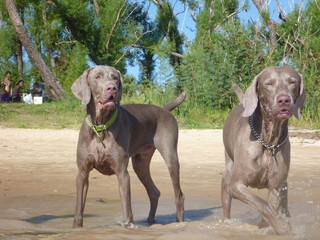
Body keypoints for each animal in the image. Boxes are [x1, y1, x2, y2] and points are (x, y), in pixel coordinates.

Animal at [70, 65, 185, 227]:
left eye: (115, 77)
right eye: (97, 76)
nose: (112, 88)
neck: (101, 126)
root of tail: (164, 109)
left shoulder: (122, 172)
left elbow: (127, 209)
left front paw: (128, 226)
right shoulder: (82, 172)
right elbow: (79, 209)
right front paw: (76, 228)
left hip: (170, 156)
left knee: (179, 194)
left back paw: (179, 223)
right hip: (140, 163)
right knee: (154, 192)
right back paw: (150, 222)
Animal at [221, 65, 306, 234]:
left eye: (292, 82)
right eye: (269, 83)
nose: (284, 99)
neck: (269, 142)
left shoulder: (276, 186)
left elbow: (270, 206)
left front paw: (270, 226)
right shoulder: (237, 185)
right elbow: (263, 205)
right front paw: (282, 226)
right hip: (228, 172)